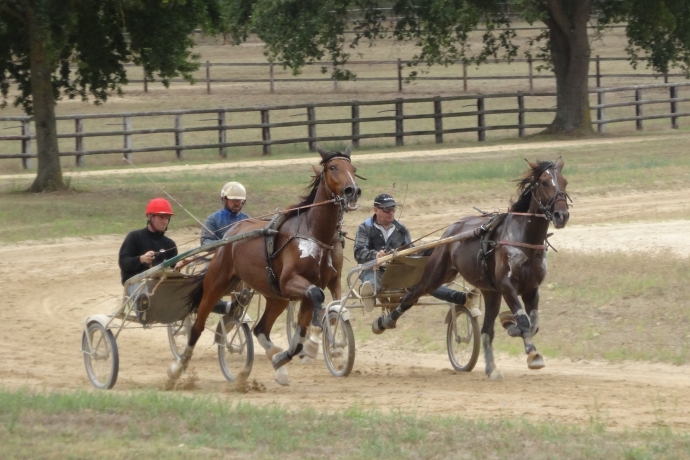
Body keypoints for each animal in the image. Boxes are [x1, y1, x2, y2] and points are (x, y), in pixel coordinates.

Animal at [168, 147, 360, 384]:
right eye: (333, 167)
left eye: (353, 168)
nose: (352, 191)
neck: (313, 232)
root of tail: (230, 234)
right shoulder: (290, 282)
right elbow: (317, 298)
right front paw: (314, 343)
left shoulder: (316, 285)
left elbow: (308, 324)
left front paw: (293, 353)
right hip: (216, 283)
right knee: (197, 326)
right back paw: (178, 366)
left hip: (276, 297)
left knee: (260, 328)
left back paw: (276, 363)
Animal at [370, 158, 568, 380]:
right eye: (544, 182)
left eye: (564, 182)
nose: (562, 215)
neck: (525, 239)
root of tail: (449, 232)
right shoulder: (507, 286)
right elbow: (524, 321)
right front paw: (532, 354)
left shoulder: (531, 288)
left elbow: (533, 324)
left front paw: (509, 324)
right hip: (435, 275)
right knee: (410, 296)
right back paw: (384, 321)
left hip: (490, 293)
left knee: (486, 330)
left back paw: (491, 368)